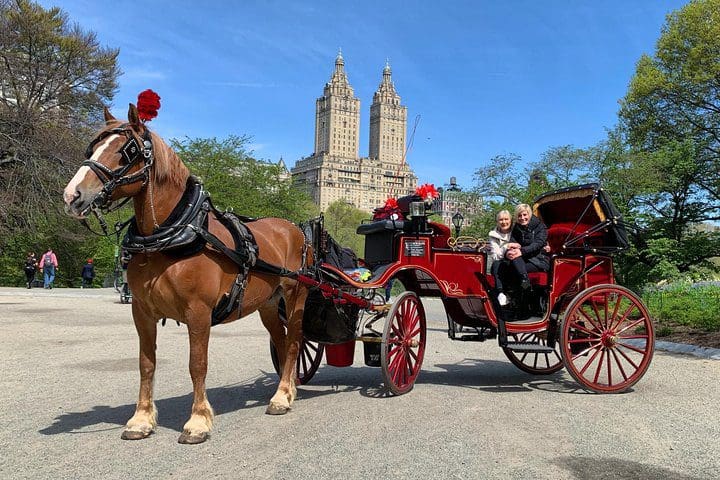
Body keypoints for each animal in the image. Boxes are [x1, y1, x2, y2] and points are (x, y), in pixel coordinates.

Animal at [63, 104, 308, 442]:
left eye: (127, 151)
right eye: (92, 148)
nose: (72, 195)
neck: (169, 234)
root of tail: (292, 227)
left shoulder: (198, 311)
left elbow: (197, 365)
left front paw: (198, 420)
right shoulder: (141, 311)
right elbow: (146, 363)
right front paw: (141, 419)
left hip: (295, 297)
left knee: (295, 343)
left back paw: (284, 395)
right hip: (269, 304)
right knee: (282, 343)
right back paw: (284, 392)